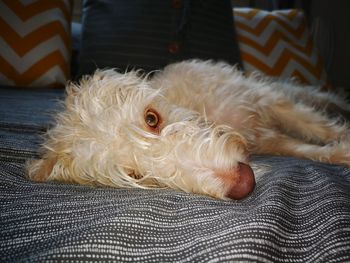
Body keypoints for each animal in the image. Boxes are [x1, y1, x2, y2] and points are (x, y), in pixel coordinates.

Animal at [26, 59, 350, 200]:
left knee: (314, 99)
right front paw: (341, 153)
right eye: (136, 175)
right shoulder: (270, 140)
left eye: (152, 119)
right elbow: (309, 149)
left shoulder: (266, 101)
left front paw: (342, 139)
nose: (244, 183)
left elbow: (315, 126)